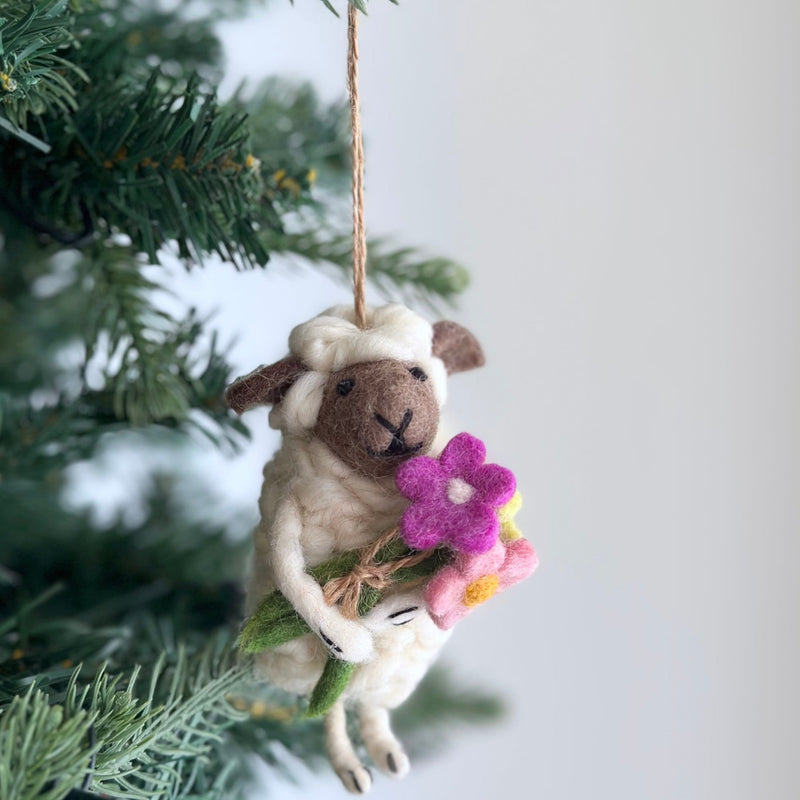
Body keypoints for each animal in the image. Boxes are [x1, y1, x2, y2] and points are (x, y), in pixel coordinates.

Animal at [225, 303, 485, 794]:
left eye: (417, 374)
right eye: (344, 387)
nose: (396, 418)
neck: (378, 486)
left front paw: (400, 611)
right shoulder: (292, 509)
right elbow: (292, 577)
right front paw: (345, 638)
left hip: (392, 676)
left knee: (371, 705)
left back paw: (387, 753)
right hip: (311, 673)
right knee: (329, 711)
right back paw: (351, 766)